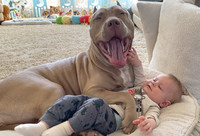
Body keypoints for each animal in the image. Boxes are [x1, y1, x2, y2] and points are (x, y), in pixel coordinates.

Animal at [0, 2, 137, 133]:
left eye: (121, 13)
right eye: (98, 18)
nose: (113, 22)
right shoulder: (93, 90)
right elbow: (126, 95)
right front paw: (131, 119)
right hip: (53, 89)